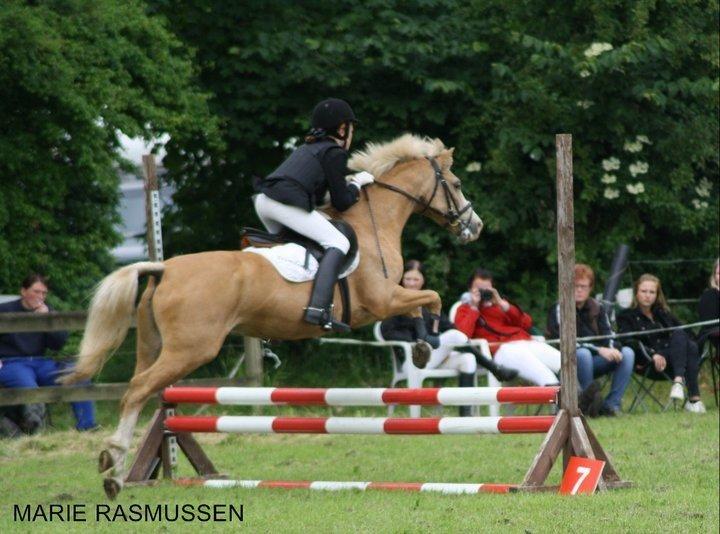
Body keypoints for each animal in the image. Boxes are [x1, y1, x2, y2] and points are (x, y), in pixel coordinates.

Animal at [59, 133, 480, 498]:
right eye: (457, 183)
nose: (475, 226)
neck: (372, 221)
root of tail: (164, 269)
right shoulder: (381, 301)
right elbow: (431, 297)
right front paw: (426, 345)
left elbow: (426, 298)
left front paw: (425, 345)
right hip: (191, 349)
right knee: (137, 389)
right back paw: (113, 465)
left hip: (153, 345)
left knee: (140, 389)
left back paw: (116, 471)